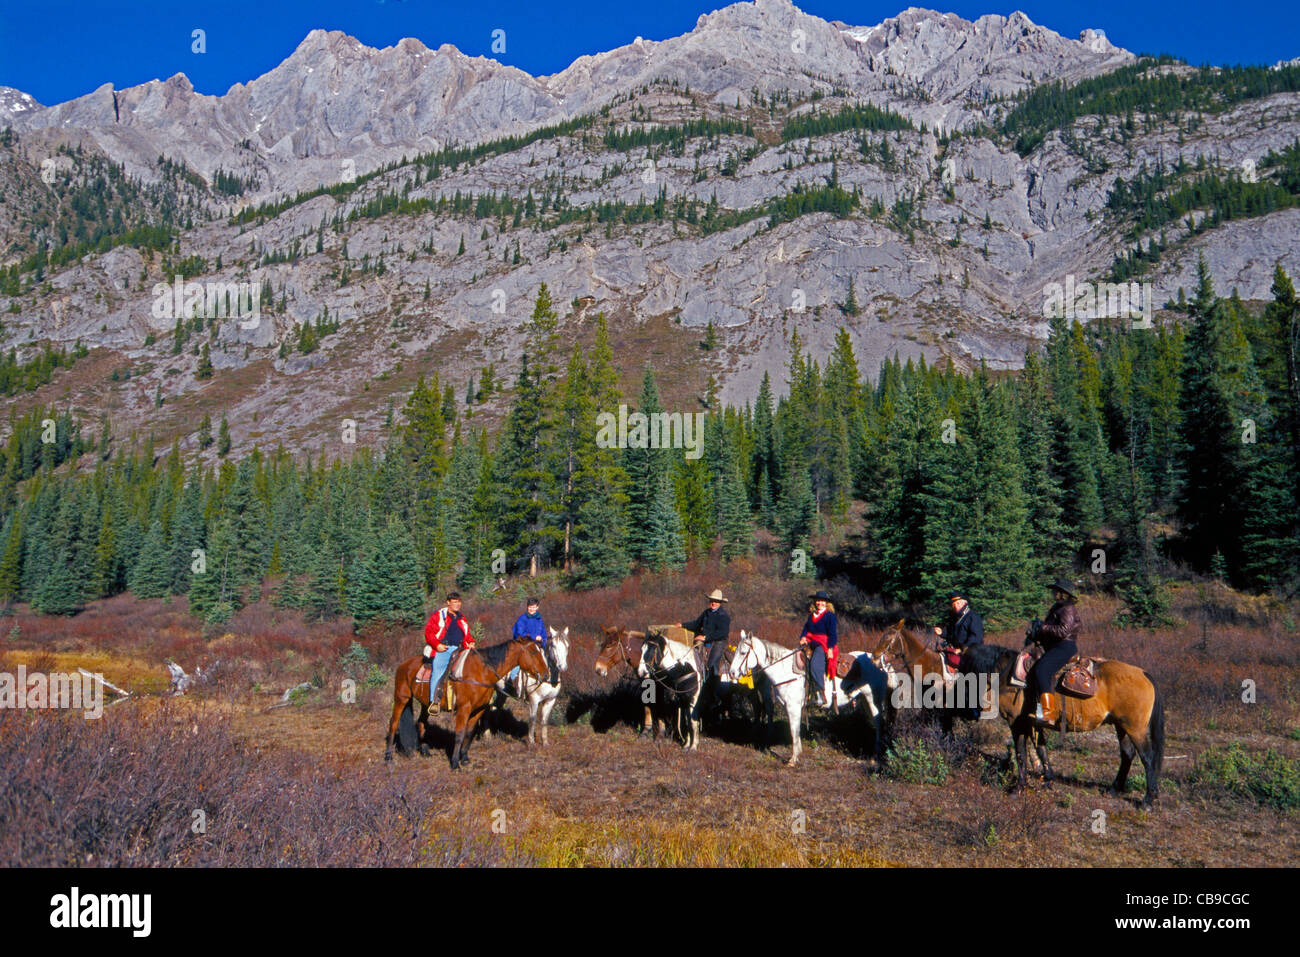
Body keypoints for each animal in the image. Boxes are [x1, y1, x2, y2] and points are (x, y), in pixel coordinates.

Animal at [384, 634, 548, 769]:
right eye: (533, 652)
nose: (546, 674)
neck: (482, 672)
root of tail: (403, 664)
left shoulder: (479, 709)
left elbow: (469, 733)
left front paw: (464, 758)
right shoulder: (464, 708)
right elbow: (459, 734)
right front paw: (455, 763)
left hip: (426, 704)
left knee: (421, 722)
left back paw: (425, 751)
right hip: (401, 698)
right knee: (394, 723)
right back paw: (388, 756)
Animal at [993, 642, 1170, 806]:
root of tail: (1144, 673)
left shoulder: (1016, 722)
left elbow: (1021, 754)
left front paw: (1018, 788)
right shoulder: (1032, 723)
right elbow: (1041, 749)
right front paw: (1048, 779)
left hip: (1135, 728)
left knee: (1147, 757)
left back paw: (1148, 801)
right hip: (1121, 726)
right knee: (1127, 754)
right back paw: (1113, 790)